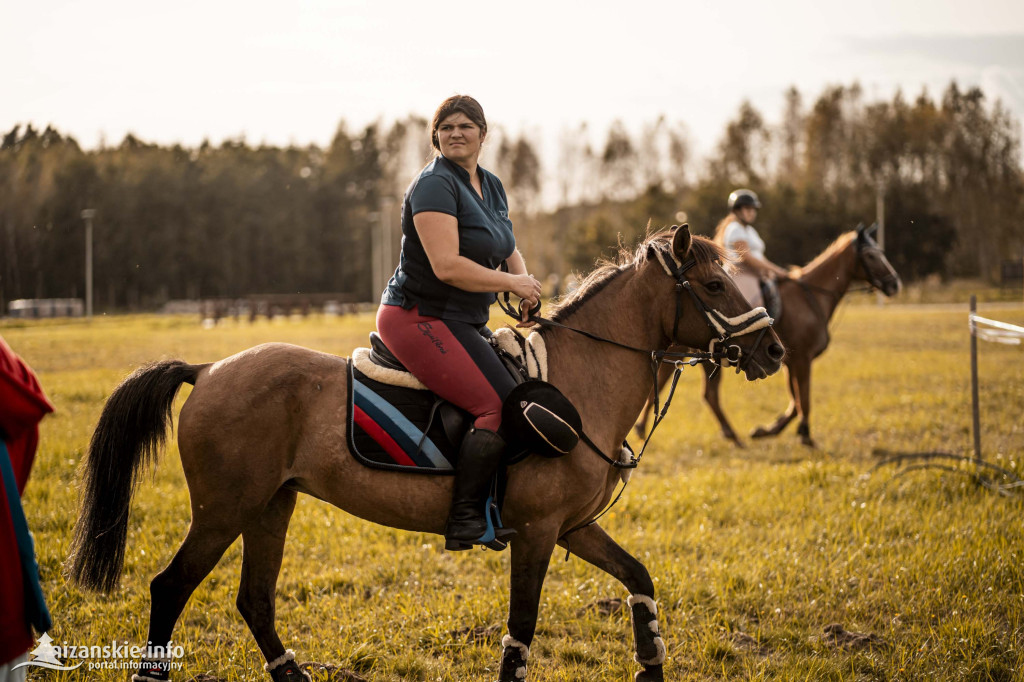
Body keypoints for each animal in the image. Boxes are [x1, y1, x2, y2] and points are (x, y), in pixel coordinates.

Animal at [66, 225, 782, 675]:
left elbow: (639, 581)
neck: (581, 381)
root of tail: (208, 368)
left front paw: (651, 664)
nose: (773, 350)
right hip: (223, 511)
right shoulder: (537, 532)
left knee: (254, 601)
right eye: (714, 287)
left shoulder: (574, 526)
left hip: (271, 506)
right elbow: (520, 632)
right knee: (170, 587)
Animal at [634, 223, 901, 446]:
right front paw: (803, 434)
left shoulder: (790, 361)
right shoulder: (802, 359)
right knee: (697, 392)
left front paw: (769, 430)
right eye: (871, 256)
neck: (810, 297)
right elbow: (803, 399)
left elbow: (795, 401)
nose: (894, 284)